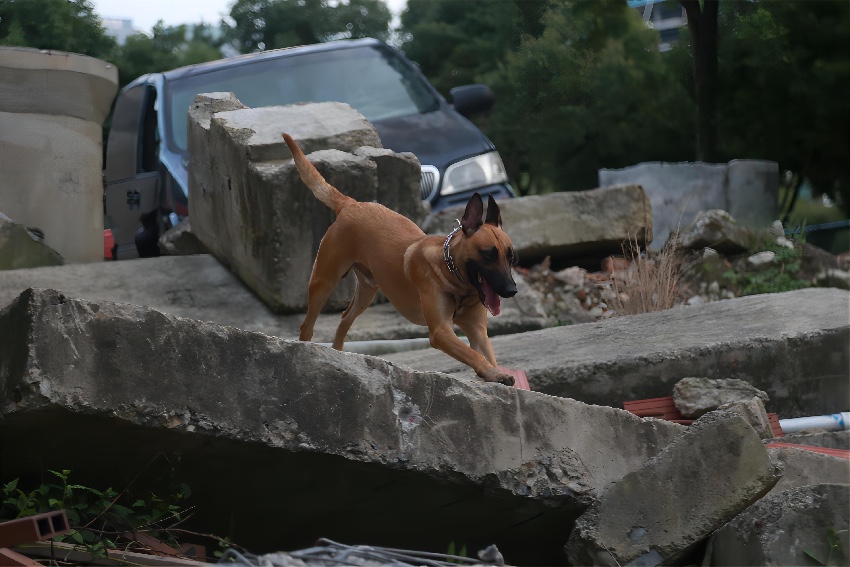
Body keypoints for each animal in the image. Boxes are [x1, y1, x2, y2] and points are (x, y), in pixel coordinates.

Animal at [282, 135, 516, 388]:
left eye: (511, 256)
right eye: (489, 254)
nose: (512, 290)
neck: (451, 272)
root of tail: (351, 204)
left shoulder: (477, 332)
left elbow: (484, 354)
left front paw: (494, 372)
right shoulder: (441, 332)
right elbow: (473, 354)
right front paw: (494, 373)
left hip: (366, 291)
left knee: (344, 320)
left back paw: (339, 355)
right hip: (323, 282)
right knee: (307, 326)